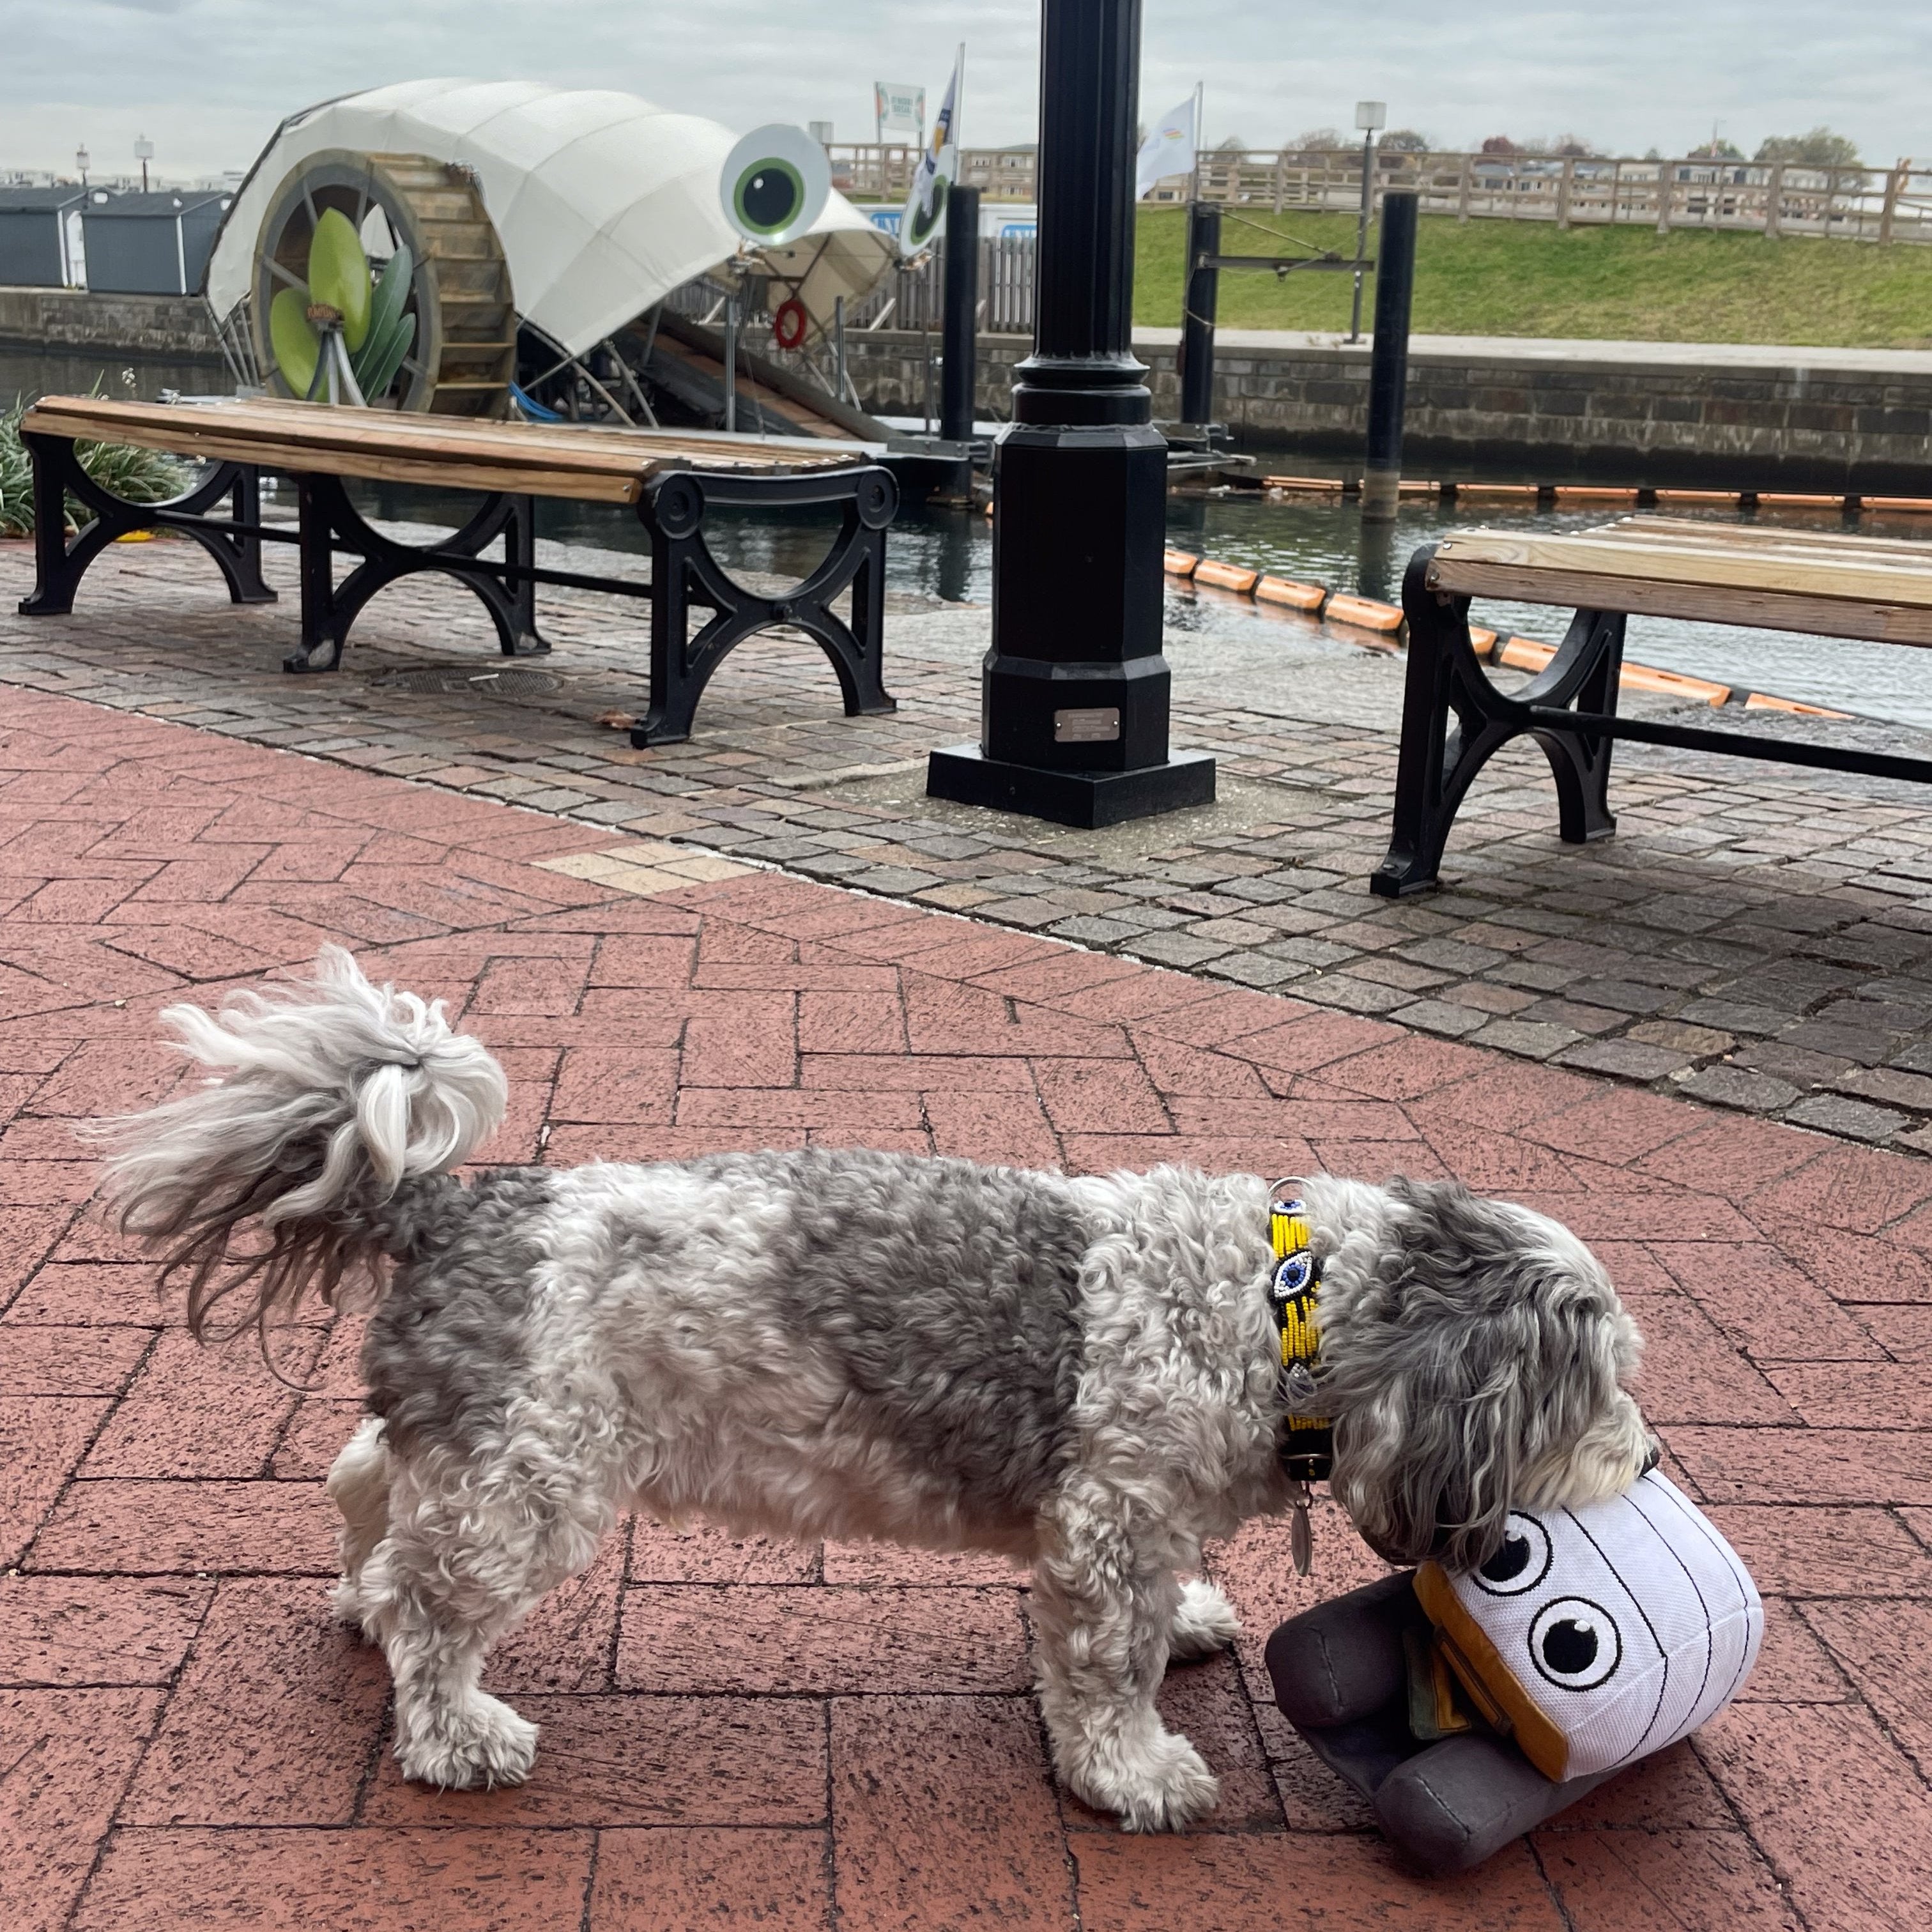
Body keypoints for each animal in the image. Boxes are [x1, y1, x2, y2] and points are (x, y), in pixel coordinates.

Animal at [94, 946, 1661, 1823]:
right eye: (1601, 1390)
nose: (1648, 1464)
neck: (1277, 1305)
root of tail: (454, 1210)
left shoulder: (1140, 1520)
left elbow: (1154, 1619)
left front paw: (1196, 1624)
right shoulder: (1108, 1529)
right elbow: (1105, 1669)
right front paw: (1132, 1770)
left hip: (466, 1447)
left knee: (367, 1488)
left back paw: (359, 1593)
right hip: (527, 1488)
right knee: (434, 1609)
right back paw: (453, 1731)